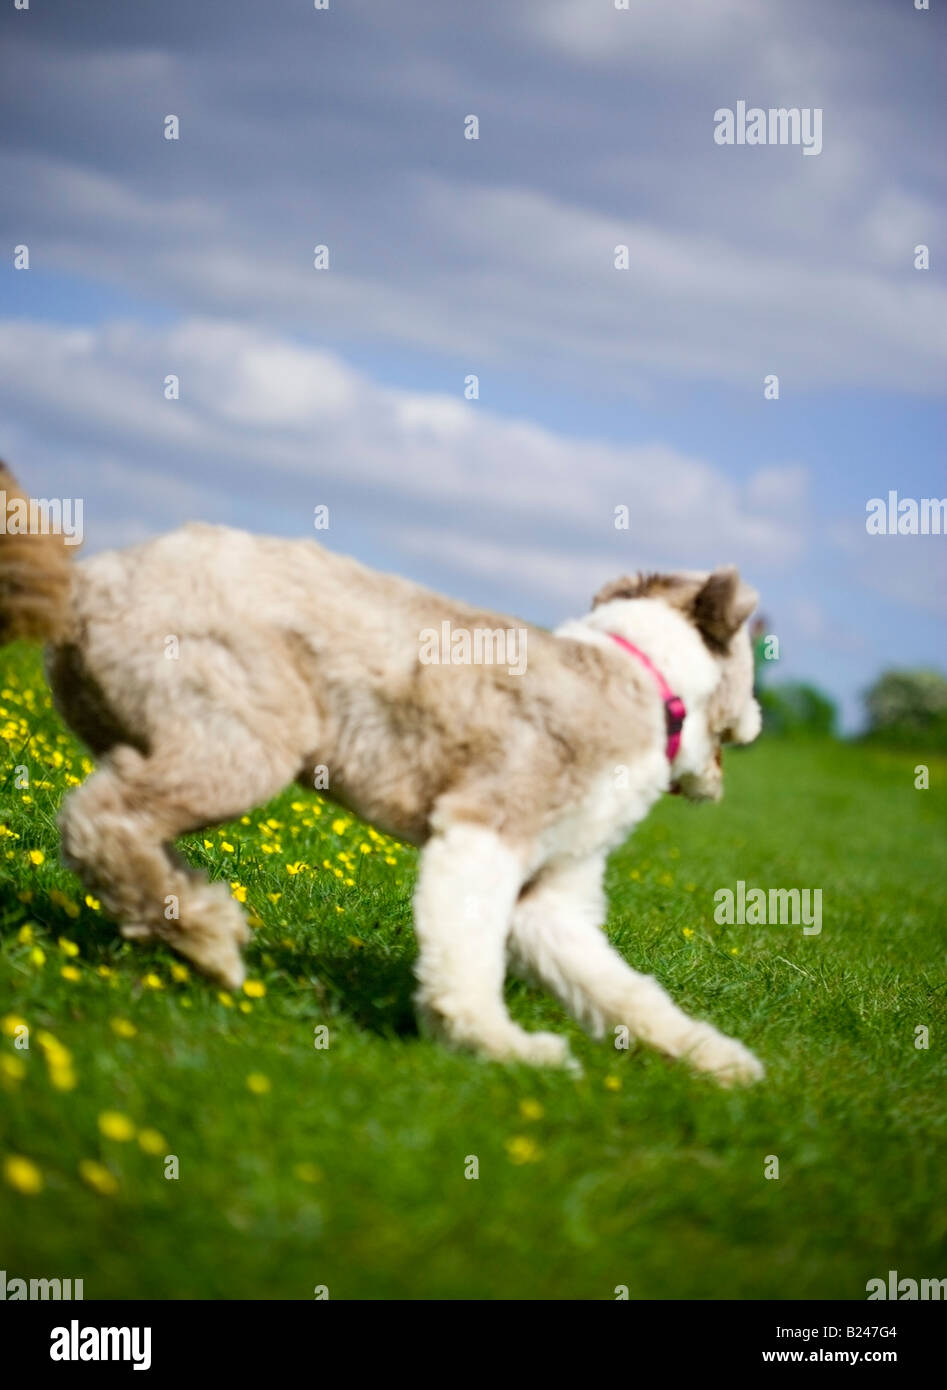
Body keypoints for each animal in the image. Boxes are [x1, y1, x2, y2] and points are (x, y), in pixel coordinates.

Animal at [0, 461, 762, 1078]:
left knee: (125, 830)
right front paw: (499, 1046)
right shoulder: (483, 834)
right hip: (245, 743)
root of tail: (88, 581)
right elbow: (466, 959)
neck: (641, 679)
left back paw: (192, 915)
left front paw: (716, 1060)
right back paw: (208, 937)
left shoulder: (549, 895)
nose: (756, 719)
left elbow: (623, 990)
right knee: (102, 820)